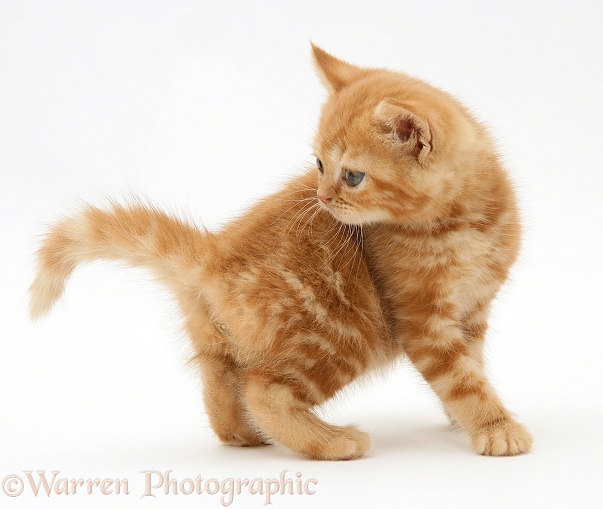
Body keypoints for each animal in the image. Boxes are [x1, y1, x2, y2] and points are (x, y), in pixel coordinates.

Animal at [28, 45, 532, 460]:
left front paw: (462, 420)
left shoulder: (474, 308)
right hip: (341, 334)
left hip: (217, 336)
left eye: (352, 176)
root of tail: (214, 255)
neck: (464, 223)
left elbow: (473, 362)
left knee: (222, 383)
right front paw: (495, 427)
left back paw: (243, 435)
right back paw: (330, 441)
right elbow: (461, 378)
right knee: (263, 389)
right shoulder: (422, 318)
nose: (323, 198)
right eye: (319, 164)